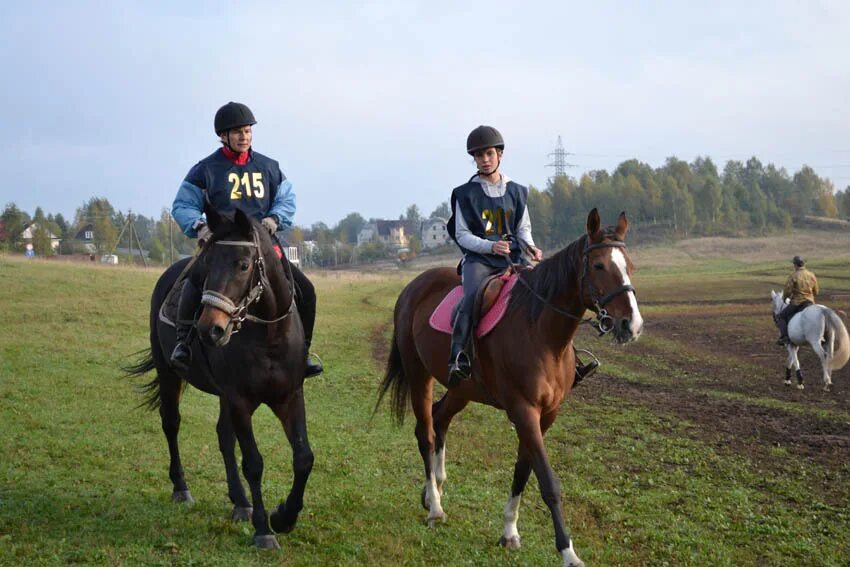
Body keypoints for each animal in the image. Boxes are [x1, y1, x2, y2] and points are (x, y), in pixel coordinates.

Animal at [124, 209, 314, 552]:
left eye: (243, 265)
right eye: (209, 265)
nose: (209, 329)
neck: (268, 336)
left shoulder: (289, 396)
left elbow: (304, 458)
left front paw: (284, 517)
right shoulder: (240, 400)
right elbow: (253, 462)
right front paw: (264, 530)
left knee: (224, 437)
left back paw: (240, 502)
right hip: (169, 375)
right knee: (171, 423)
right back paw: (181, 487)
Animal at [374, 210, 640, 567]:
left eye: (630, 265)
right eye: (598, 265)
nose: (631, 325)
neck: (539, 331)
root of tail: (412, 288)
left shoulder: (546, 415)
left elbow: (523, 471)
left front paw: (509, 532)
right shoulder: (523, 411)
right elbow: (548, 481)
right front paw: (568, 552)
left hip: (462, 389)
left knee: (440, 418)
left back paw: (434, 492)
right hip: (419, 376)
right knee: (425, 432)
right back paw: (435, 507)